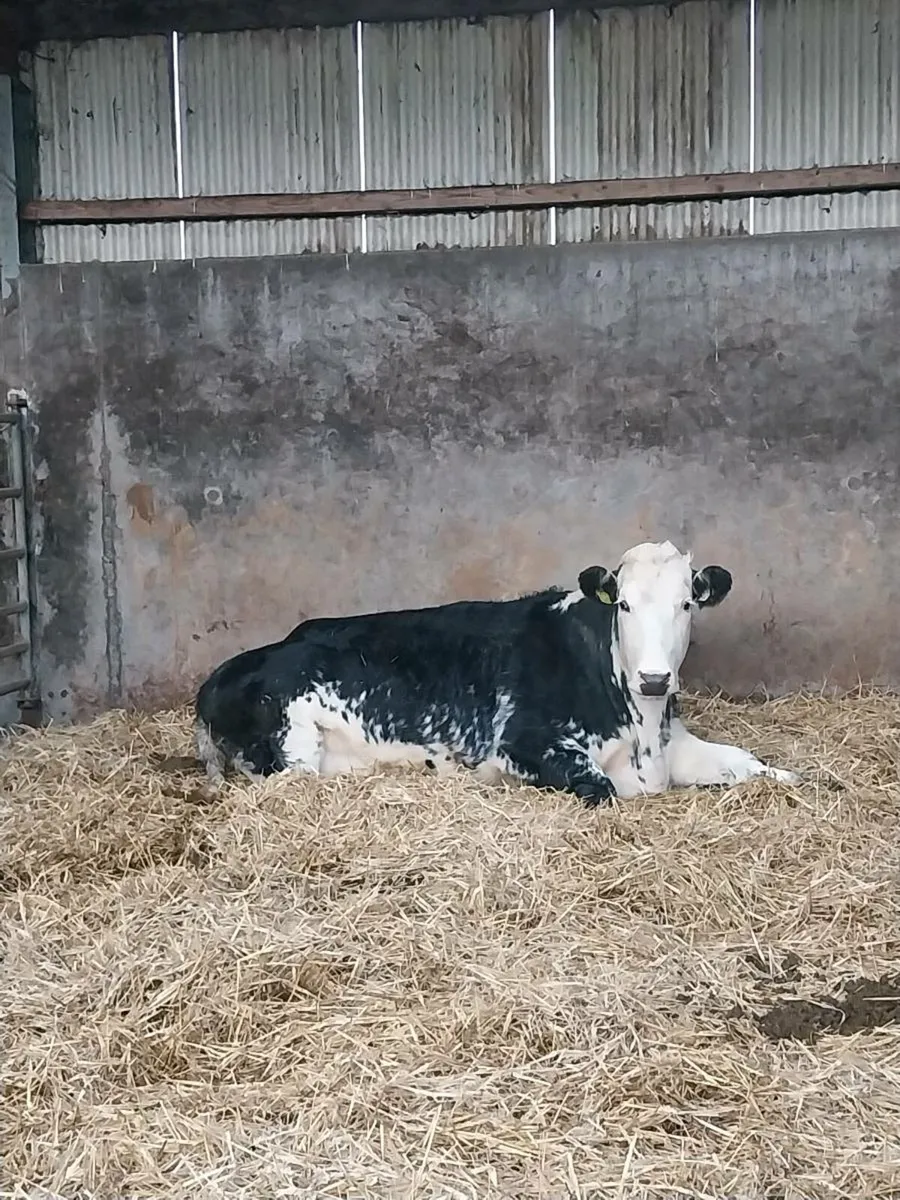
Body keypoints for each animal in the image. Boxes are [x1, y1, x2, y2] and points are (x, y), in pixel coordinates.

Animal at [194, 539, 800, 805]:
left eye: (686, 604)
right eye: (624, 604)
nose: (653, 679)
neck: (643, 728)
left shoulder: (676, 745)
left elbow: (758, 767)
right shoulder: (523, 742)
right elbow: (602, 788)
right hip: (291, 746)